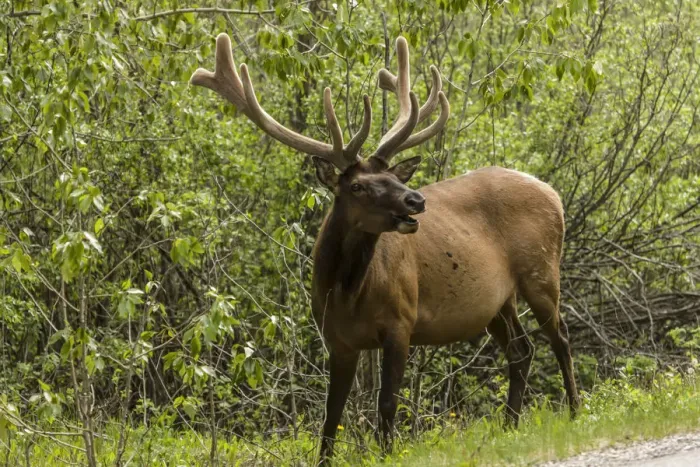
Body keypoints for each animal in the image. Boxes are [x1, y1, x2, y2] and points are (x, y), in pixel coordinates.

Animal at [191, 33, 580, 463]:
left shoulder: (401, 321)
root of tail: (552, 192)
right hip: (497, 300)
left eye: (394, 176)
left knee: (560, 338)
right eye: (358, 185)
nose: (416, 200)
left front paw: (387, 452)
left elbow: (387, 401)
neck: (347, 294)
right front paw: (325, 459)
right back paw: (509, 425)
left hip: (541, 270)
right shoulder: (337, 339)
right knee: (521, 349)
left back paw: (575, 411)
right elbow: (331, 414)